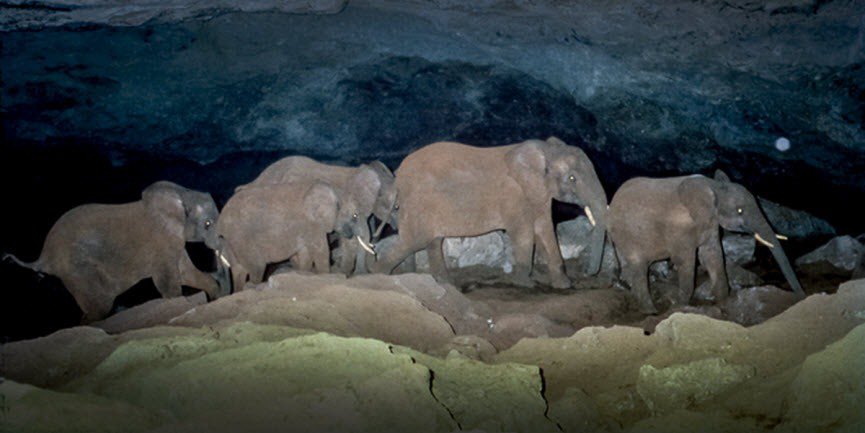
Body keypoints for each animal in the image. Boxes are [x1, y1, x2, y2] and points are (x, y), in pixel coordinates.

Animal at [2, 181, 229, 322]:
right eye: (208, 224)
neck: (182, 194)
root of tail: (43, 258)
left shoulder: (173, 241)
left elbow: (186, 273)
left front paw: (214, 295)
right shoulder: (160, 241)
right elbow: (168, 282)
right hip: (77, 271)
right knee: (100, 306)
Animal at [215, 180, 370, 292]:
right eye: (355, 216)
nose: (348, 276)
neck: (334, 190)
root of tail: (221, 220)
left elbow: (305, 253)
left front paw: (303, 275)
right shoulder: (312, 224)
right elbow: (321, 251)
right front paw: (326, 275)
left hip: (231, 240)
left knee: (238, 269)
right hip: (242, 238)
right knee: (257, 267)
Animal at [369, 137, 608, 289]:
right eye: (572, 178)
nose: (588, 272)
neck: (544, 151)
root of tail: (398, 175)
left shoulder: (538, 195)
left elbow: (546, 230)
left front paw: (564, 285)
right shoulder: (515, 196)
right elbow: (524, 233)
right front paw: (526, 284)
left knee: (432, 242)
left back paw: (445, 283)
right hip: (419, 205)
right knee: (414, 241)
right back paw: (378, 275)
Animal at [607, 170, 804, 314]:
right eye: (740, 210)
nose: (802, 297)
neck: (712, 186)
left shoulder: (711, 223)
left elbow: (713, 255)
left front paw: (724, 304)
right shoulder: (679, 228)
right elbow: (686, 261)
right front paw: (678, 308)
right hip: (627, 235)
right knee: (639, 268)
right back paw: (651, 312)